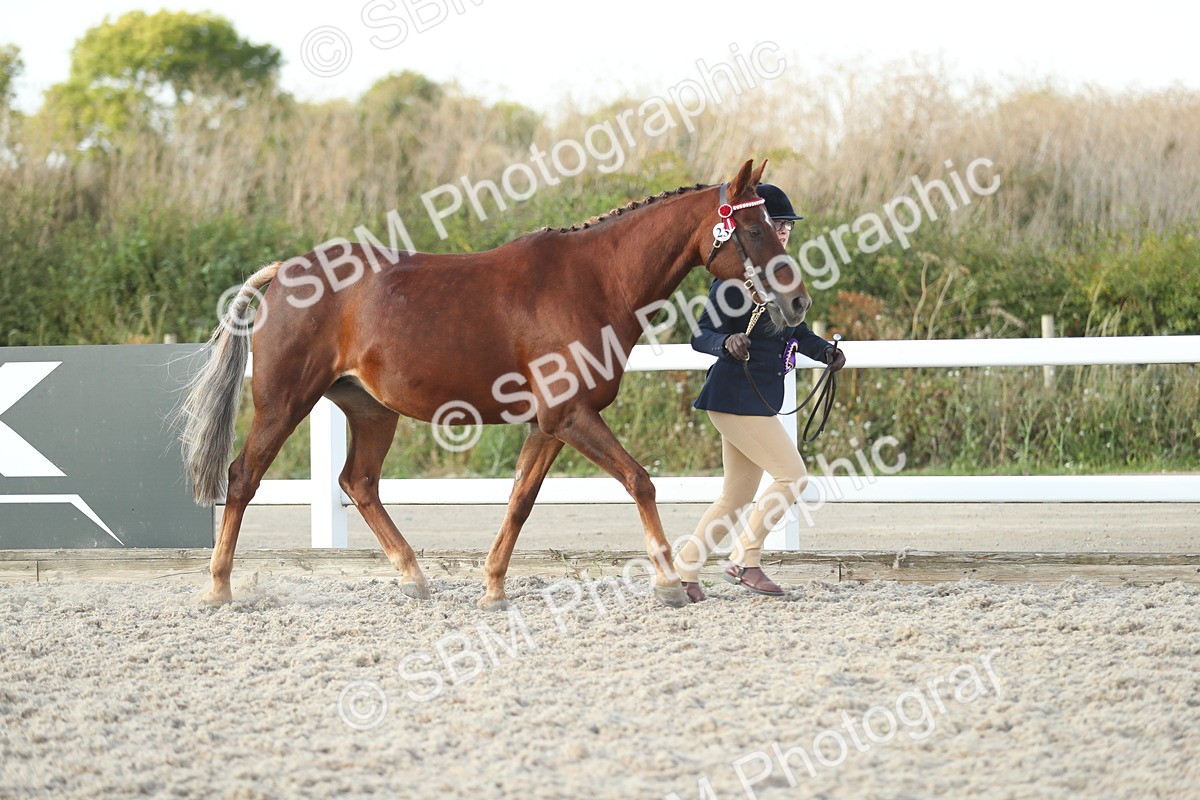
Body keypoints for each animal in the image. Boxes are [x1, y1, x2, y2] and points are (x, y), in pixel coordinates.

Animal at [177, 158, 812, 609]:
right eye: (753, 229)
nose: (798, 302)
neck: (594, 282)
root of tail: (284, 271)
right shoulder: (571, 418)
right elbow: (640, 481)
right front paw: (670, 584)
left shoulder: (551, 425)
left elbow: (520, 501)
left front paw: (493, 587)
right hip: (285, 402)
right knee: (243, 477)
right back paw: (218, 589)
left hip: (371, 411)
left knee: (358, 482)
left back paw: (414, 578)